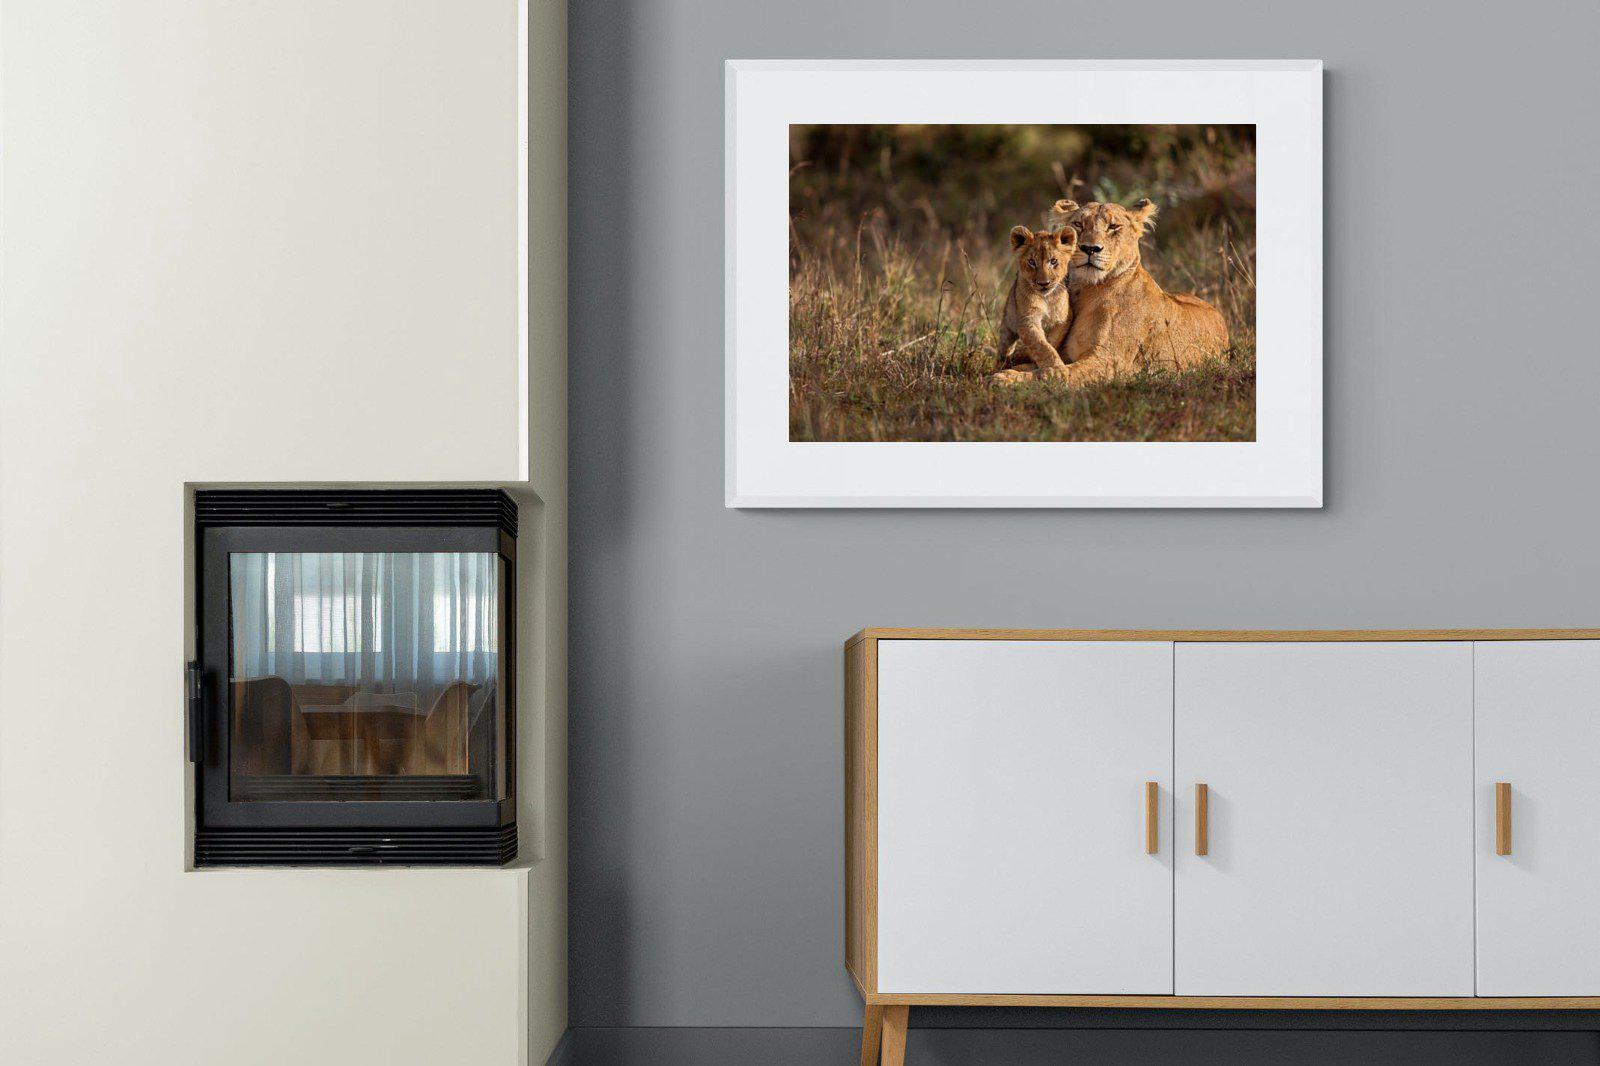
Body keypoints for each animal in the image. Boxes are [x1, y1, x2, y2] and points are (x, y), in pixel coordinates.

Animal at [991, 225, 1076, 380]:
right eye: (1031, 262)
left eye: (1053, 261)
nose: (1043, 283)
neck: (1047, 298)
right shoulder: (1027, 319)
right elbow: (1041, 345)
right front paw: (1057, 369)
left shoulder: (1063, 319)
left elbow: (1051, 342)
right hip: (1007, 325)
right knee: (1004, 349)